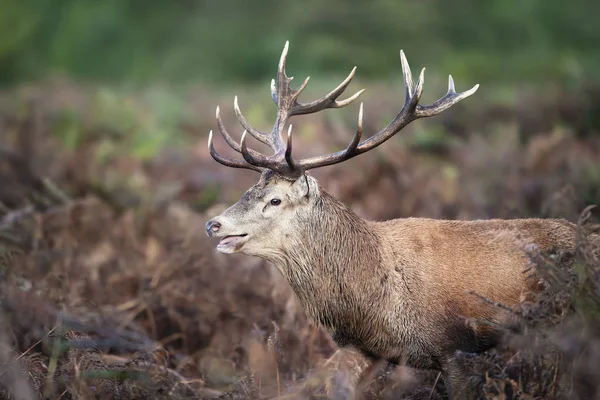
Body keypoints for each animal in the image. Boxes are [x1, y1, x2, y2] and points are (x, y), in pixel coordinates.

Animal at [205, 42, 576, 398]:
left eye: (275, 199)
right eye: (249, 190)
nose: (213, 224)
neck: (371, 302)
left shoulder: (457, 347)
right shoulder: (363, 349)